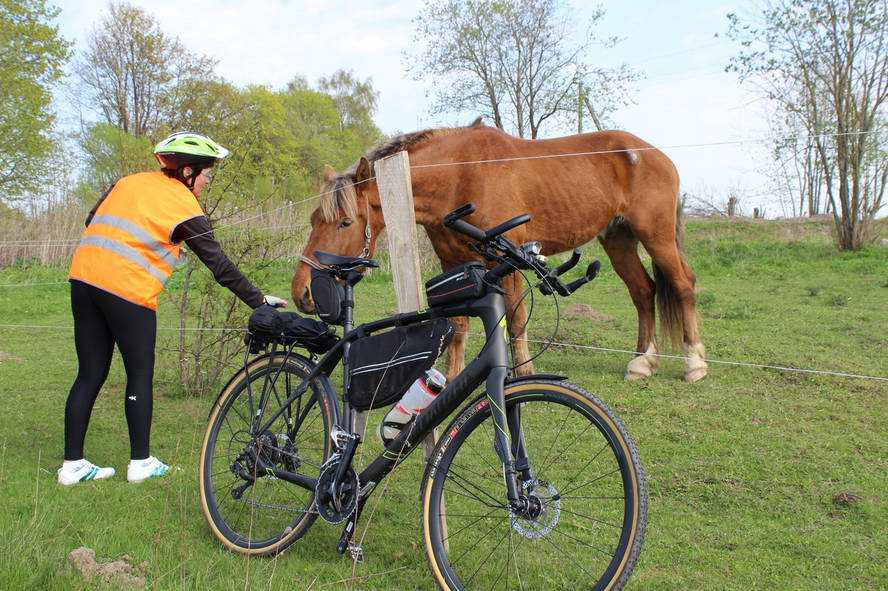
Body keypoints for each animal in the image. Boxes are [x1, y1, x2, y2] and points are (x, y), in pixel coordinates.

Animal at [292, 119, 708, 384]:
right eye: (313, 219)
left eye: (345, 223)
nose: (303, 291)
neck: (462, 173)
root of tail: (656, 155)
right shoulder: (453, 261)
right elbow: (459, 325)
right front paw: (452, 377)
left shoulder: (505, 259)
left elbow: (517, 318)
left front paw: (523, 373)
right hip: (618, 239)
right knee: (643, 292)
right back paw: (642, 363)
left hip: (656, 236)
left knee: (683, 285)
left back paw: (694, 364)